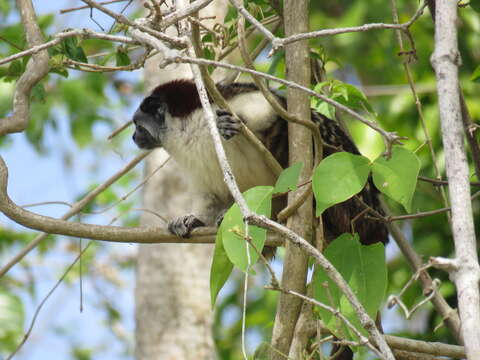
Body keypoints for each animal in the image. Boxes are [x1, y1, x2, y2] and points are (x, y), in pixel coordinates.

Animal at [132, 79, 390, 246]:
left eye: (137, 125)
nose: (134, 137)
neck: (188, 130)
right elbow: (210, 194)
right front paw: (193, 220)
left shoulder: (221, 102)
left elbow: (275, 107)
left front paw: (234, 122)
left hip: (354, 206)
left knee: (316, 134)